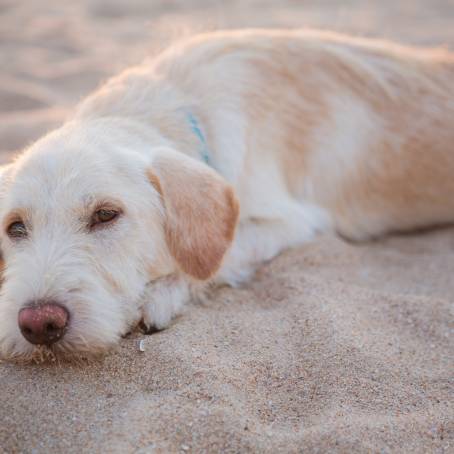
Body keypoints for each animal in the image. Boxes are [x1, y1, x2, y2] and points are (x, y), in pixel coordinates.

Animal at [0, 29, 454, 362]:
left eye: (106, 214)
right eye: (15, 227)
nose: (38, 324)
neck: (178, 103)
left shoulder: (293, 223)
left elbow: (218, 259)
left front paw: (162, 295)